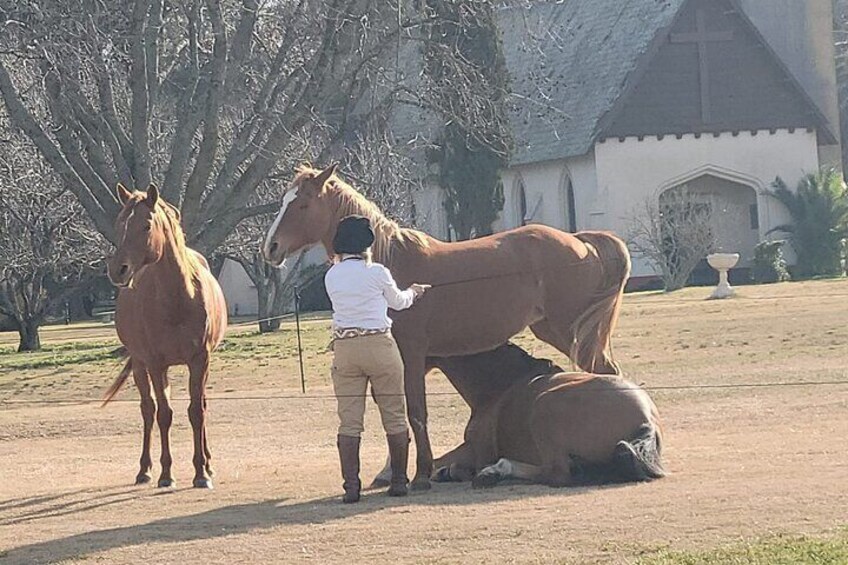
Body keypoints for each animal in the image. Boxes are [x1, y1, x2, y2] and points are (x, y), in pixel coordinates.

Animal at [104, 185, 227, 490]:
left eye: (146, 225)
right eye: (119, 224)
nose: (117, 270)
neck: (178, 298)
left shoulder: (200, 359)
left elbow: (196, 411)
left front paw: (202, 472)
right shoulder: (155, 363)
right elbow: (164, 414)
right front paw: (166, 474)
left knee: (200, 404)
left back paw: (208, 462)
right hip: (140, 364)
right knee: (148, 410)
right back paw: (144, 470)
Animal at [264, 163, 628, 490]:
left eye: (302, 204)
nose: (271, 248)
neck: (391, 263)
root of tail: (580, 241)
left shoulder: (411, 353)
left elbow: (415, 411)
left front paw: (420, 475)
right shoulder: (409, 358)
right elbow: (393, 408)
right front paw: (391, 471)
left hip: (570, 329)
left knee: (603, 371)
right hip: (554, 329)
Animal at [430, 342, 664, 486]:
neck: (502, 386)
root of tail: (647, 418)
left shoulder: (476, 450)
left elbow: (437, 462)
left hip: (543, 409)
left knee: (556, 474)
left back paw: (495, 472)